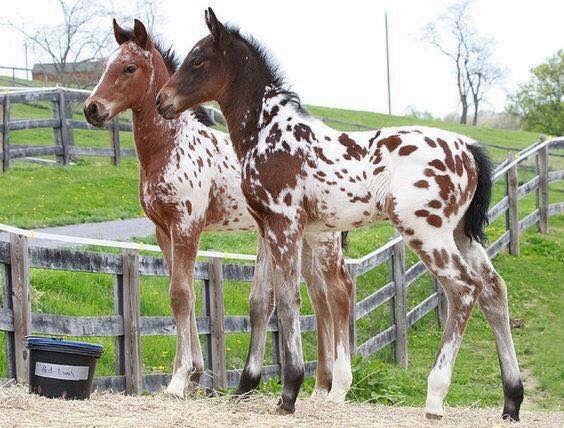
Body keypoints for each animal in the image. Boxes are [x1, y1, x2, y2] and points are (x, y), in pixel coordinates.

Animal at [155, 7, 524, 422]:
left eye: (198, 59)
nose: (162, 100)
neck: (270, 134)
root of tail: (468, 149)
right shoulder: (267, 228)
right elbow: (262, 301)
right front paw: (246, 387)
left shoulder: (284, 224)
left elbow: (289, 301)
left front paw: (290, 391)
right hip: (460, 235)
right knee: (494, 290)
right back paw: (511, 401)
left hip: (426, 233)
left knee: (464, 289)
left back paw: (435, 397)